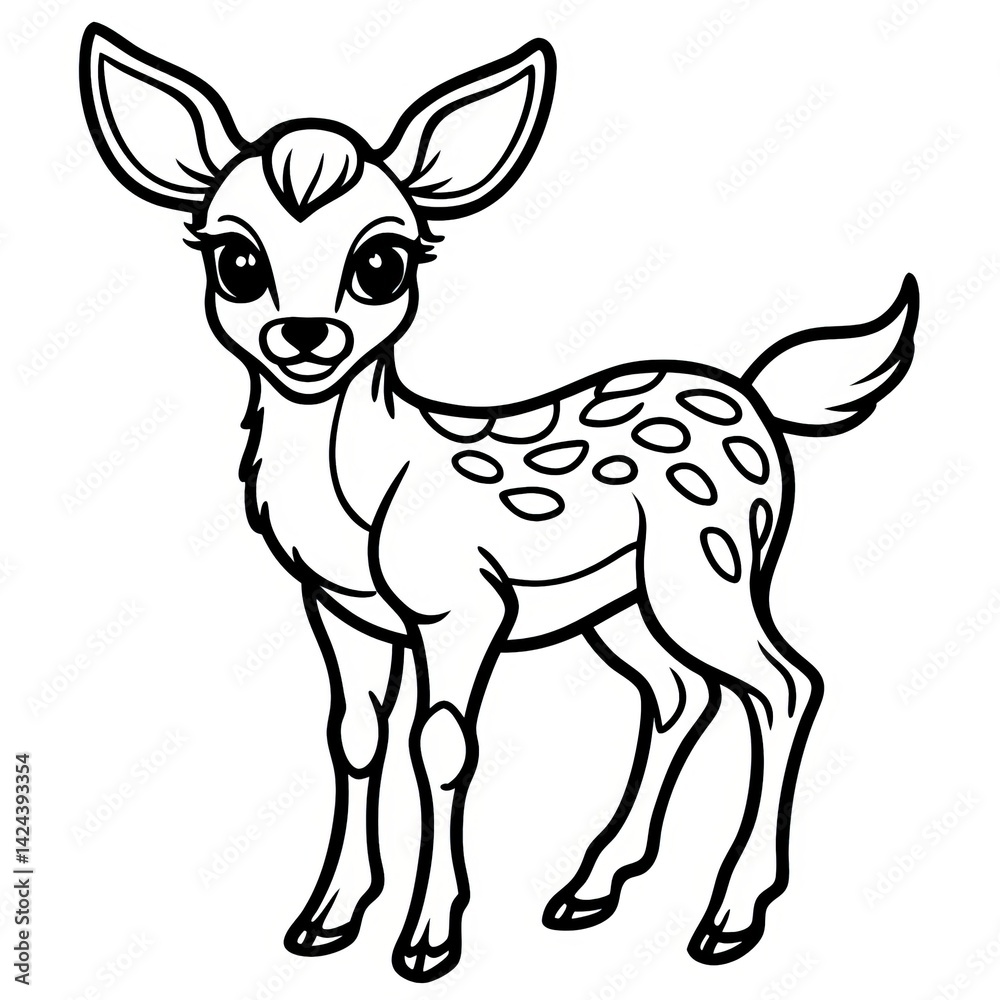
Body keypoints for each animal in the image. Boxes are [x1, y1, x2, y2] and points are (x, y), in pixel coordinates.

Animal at [80, 23, 918, 983]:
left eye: (382, 261)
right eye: (236, 260)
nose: (306, 336)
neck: (367, 495)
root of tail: (756, 395)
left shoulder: (463, 604)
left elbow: (441, 745)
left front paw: (427, 939)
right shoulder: (340, 609)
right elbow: (354, 736)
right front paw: (327, 918)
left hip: (711, 566)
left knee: (785, 685)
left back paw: (729, 918)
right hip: (621, 602)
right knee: (677, 694)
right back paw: (591, 888)